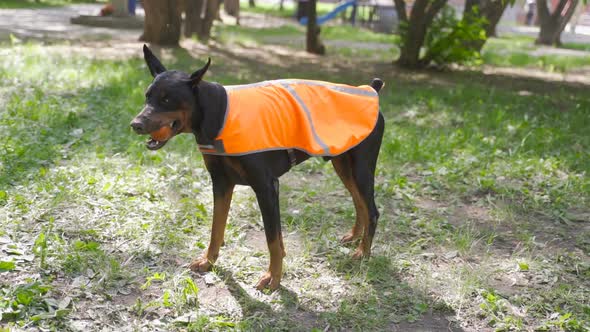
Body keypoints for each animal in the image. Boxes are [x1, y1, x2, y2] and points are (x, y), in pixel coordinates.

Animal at [131, 44, 386, 290]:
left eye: (167, 99)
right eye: (147, 96)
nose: (135, 124)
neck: (218, 113)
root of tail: (371, 90)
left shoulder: (266, 186)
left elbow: (272, 239)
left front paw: (273, 278)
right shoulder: (221, 183)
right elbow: (217, 227)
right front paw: (209, 260)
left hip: (361, 167)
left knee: (372, 210)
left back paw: (362, 253)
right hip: (342, 164)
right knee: (359, 203)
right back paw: (354, 237)